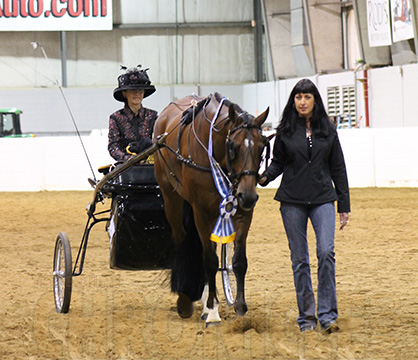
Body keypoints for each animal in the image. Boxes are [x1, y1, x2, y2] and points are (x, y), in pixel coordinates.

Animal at [153, 93, 272, 326]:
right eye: (233, 146)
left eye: (262, 147)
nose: (248, 196)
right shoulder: (201, 211)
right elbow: (209, 261)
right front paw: (213, 311)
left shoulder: (242, 212)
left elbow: (238, 261)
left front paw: (240, 309)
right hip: (171, 197)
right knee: (181, 238)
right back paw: (187, 300)